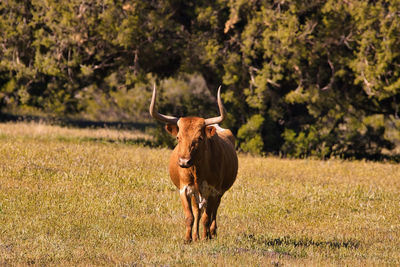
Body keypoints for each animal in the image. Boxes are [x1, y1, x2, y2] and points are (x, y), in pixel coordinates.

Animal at [149, 84, 238, 243]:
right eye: (178, 137)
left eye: (200, 138)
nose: (184, 161)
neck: (197, 171)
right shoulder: (184, 189)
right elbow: (190, 216)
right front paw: (188, 239)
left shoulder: (213, 190)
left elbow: (207, 217)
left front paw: (205, 237)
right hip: (197, 194)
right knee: (198, 211)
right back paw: (196, 236)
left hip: (218, 192)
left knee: (213, 212)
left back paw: (211, 234)